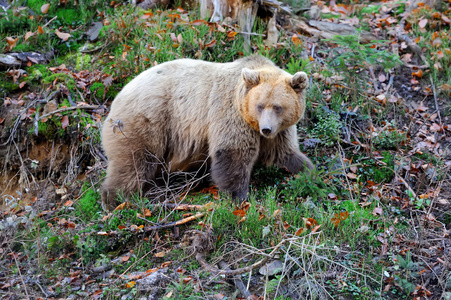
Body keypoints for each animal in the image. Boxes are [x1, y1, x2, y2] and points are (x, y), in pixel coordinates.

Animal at [101, 55, 314, 211]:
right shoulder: (230, 113)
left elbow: (283, 153)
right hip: (149, 120)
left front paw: (309, 172)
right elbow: (233, 153)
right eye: (260, 105)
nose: (266, 129)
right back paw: (116, 201)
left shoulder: (280, 131)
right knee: (134, 163)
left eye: (278, 107)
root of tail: (119, 95)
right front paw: (239, 197)